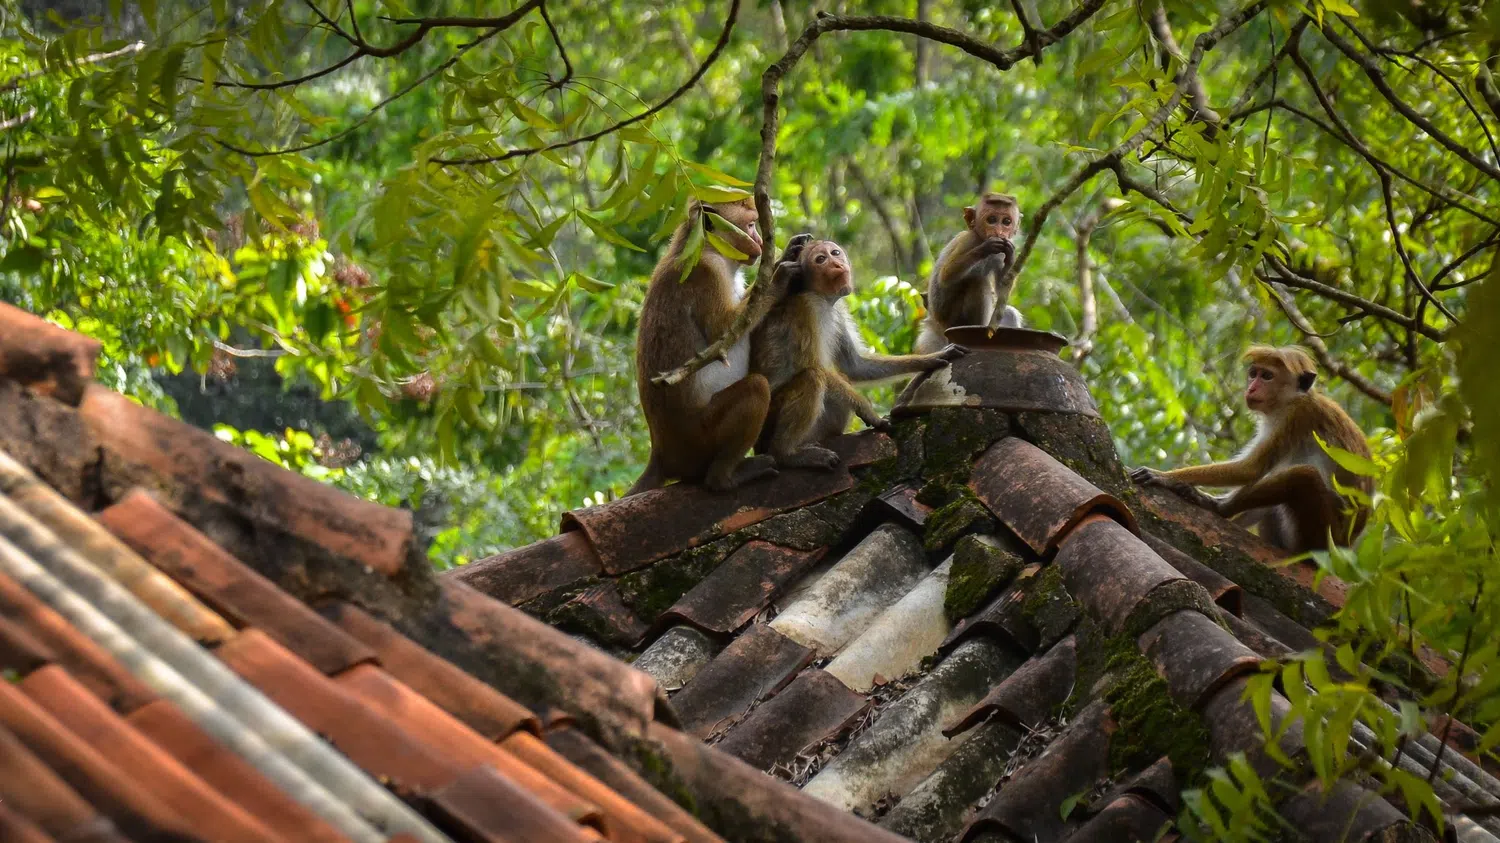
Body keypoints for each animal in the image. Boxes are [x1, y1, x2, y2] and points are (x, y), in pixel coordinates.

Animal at [630, 198, 809, 495]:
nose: (759, 242)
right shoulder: (704, 272)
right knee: (756, 388)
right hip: (700, 437)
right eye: (750, 224)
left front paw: (788, 253)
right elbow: (723, 332)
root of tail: (662, 453)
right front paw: (779, 279)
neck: (710, 249)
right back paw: (724, 478)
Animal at [751, 239, 969, 469]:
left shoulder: (838, 311)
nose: (836, 264)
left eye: (834, 253)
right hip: (769, 420)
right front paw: (868, 411)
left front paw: (931, 359)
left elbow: (855, 366)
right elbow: (814, 365)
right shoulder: (806, 307)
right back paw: (786, 454)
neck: (821, 297)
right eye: (821, 259)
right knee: (813, 377)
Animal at [915, 192, 1024, 354]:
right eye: (992, 220)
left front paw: (1011, 256)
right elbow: (946, 275)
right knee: (977, 281)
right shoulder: (968, 240)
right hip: (954, 319)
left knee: (1009, 312)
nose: (999, 232)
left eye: (1006, 222)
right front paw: (986, 247)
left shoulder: (1000, 254)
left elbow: (1002, 287)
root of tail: (938, 323)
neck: (980, 237)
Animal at [1130, 345, 1373, 554]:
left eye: (1267, 376)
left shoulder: (1295, 416)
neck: (1293, 398)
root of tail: (1345, 547)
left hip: (1321, 539)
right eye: (1253, 373)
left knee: (1304, 476)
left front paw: (1165, 477)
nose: (1251, 388)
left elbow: (1250, 469)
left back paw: (1221, 508)